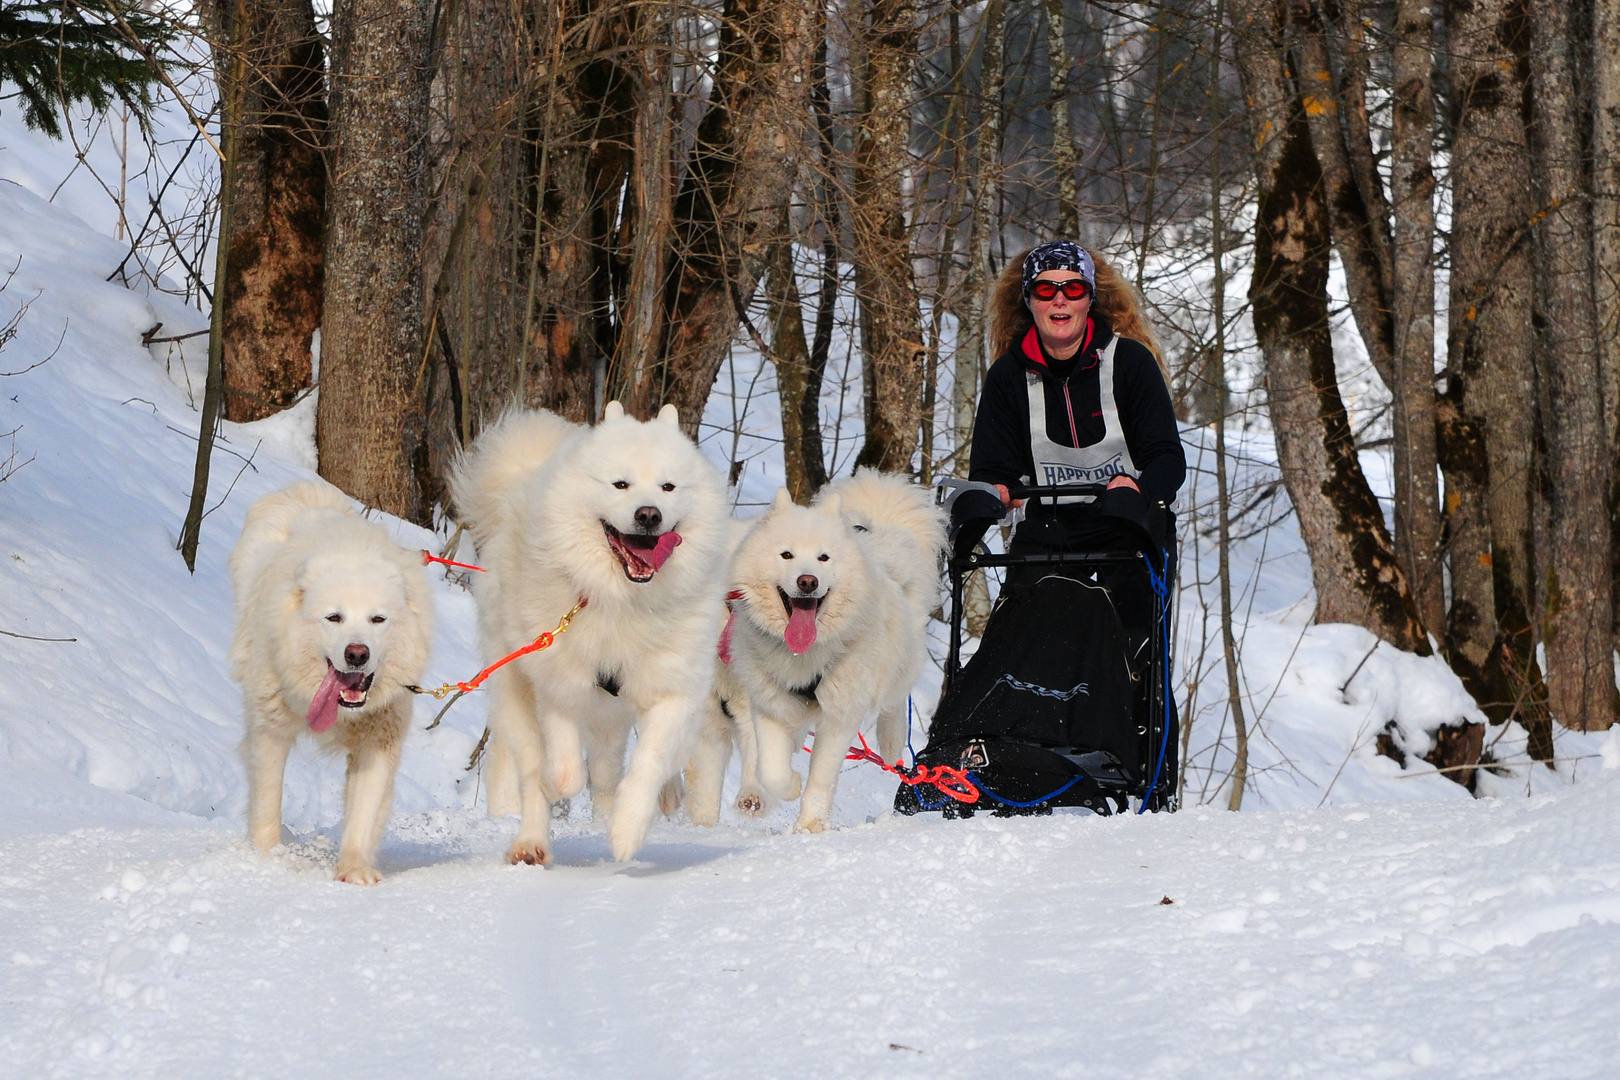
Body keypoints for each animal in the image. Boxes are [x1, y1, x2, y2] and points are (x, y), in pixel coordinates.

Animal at [228, 482, 434, 887]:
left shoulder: (378, 742)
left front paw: (354, 872)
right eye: (334, 617)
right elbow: (267, 803)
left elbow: (363, 814)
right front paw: (266, 860)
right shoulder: (269, 731)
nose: (357, 654)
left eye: (378, 619)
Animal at [456, 401, 735, 867]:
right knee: (531, 767)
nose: (649, 514)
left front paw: (627, 830)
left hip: (612, 717)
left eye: (668, 487)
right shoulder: (557, 677)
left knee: (607, 773)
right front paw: (558, 782)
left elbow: (648, 763)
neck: (620, 601)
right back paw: (531, 843)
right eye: (620, 484)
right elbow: (562, 765)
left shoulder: (673, 691)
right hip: (515, 690)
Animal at [725, 469, 946, 835]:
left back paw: (890, 744)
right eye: (786, 555)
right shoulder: (769, 704)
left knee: (895, 703)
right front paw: (790, 786)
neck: (803, 656)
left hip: (896, 668)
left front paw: (809, 827)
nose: (808, 581)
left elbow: (821, 780)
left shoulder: (839, 716)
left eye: (823, 557)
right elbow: (771, 771)